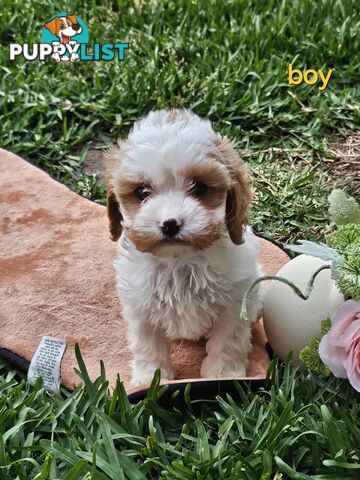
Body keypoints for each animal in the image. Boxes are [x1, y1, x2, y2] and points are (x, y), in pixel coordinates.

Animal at [105, 109, 262, 386]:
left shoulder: (235, 303)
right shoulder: (140, 307)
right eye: (142, 192)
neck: (180, 261)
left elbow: (227, 341)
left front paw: (223, 374)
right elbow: (148, 345)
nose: (170, 223)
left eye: (200, 187)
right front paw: (151, 378)